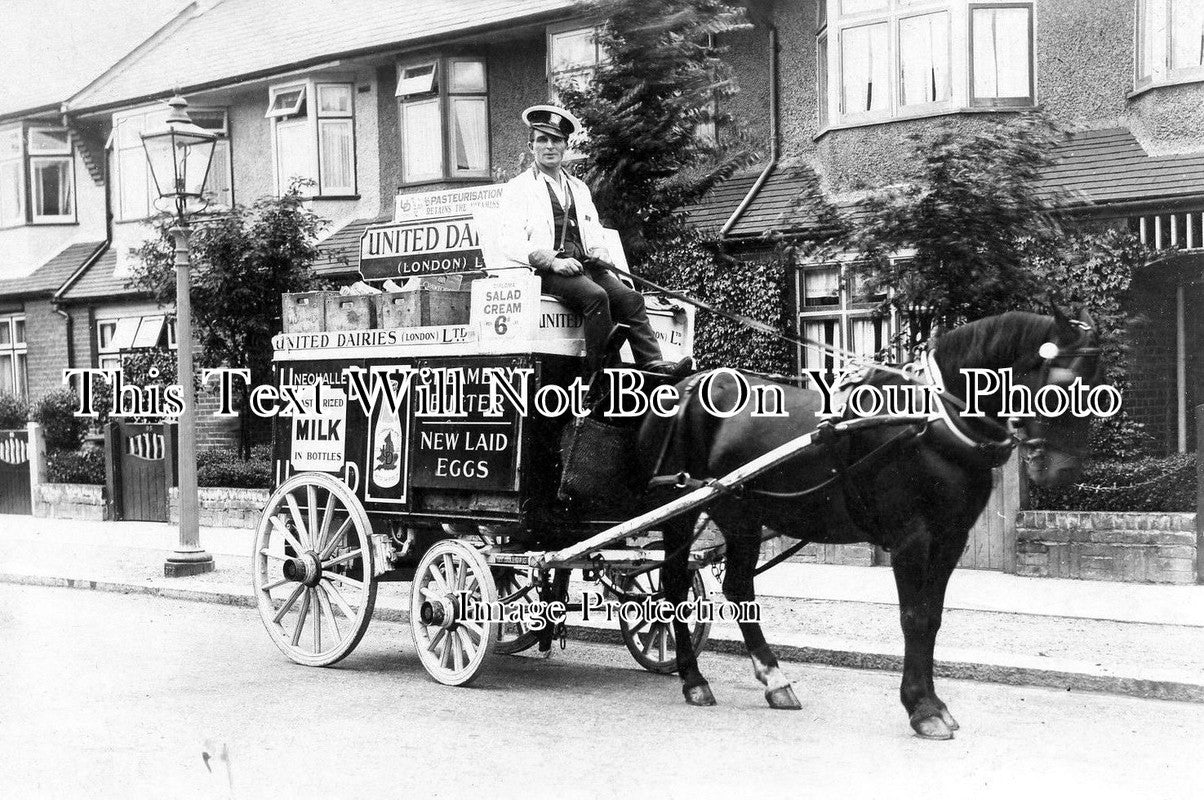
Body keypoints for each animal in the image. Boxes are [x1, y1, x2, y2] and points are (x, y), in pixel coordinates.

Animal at [635, 308, 1102, 742]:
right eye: (1062, 384)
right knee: (675, 586)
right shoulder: (911, 537)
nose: (1062, 471)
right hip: (684, 511)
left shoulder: (951, 538)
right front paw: (922, 709)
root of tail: (684, 385)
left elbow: (932, 617)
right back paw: (694, 679)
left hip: (742, 516)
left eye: (1100, 389)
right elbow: (914, 617)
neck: (930, 424)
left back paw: (773, 681)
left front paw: (934, 704)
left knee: (735, 588)